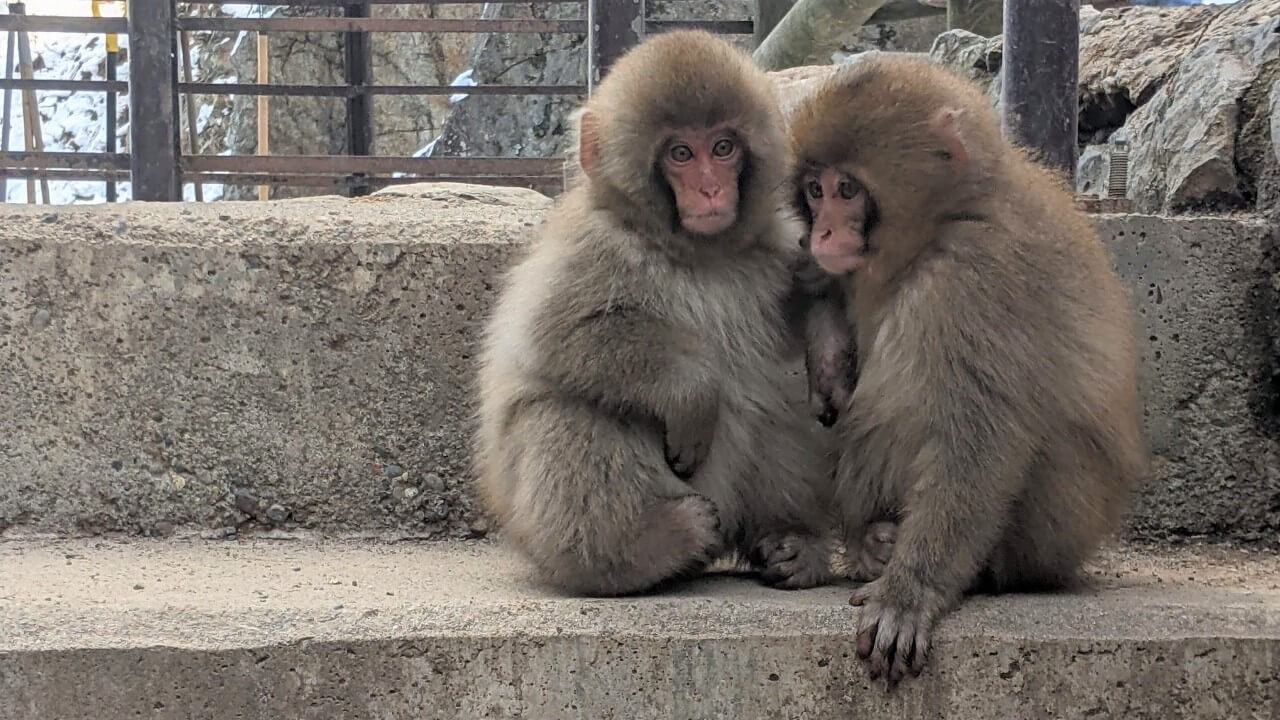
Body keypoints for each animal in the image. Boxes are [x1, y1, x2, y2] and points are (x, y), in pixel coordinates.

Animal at [476, 29, 844, 594]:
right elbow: (557, 334)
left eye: (723, 147)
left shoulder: (781, 239)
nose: (711, 189)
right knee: (572, 412)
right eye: (680, 153)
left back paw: (789, 541)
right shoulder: (593, 243)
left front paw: (828, 353)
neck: (699, 253)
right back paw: (642, 550)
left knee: (784, 402)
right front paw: (693, 392)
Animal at [788, 58, 1152, 681]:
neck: (946, 219)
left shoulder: (973, 275)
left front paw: (909, 592)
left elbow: (977, 440)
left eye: (846, 189)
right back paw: (866, 541)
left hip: (1054, 531)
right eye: (815, 190)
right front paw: (829, 353)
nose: (822, 232)